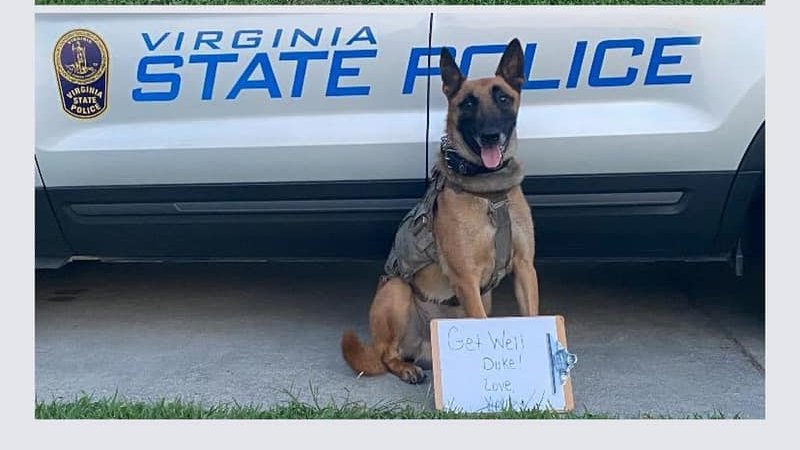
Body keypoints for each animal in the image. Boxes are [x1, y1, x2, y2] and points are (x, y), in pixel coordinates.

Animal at [341, 39, 539, 384]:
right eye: (467, 104)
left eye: (503, 98)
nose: (490, 135)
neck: (489, 192)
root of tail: (424, 349)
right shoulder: (466, 279)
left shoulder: (525, 268)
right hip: (396, 291)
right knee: (387, 355)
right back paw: (405, 368)